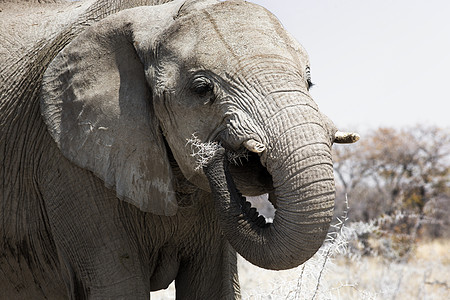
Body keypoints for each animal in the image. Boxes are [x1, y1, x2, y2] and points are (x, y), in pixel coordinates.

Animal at [0, 0, 358, 298]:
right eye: (202, 89)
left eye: (309, 82)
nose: (215, 154)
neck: (156, 17)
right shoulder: (67, 166)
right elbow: (118, 287)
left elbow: (213, 288)